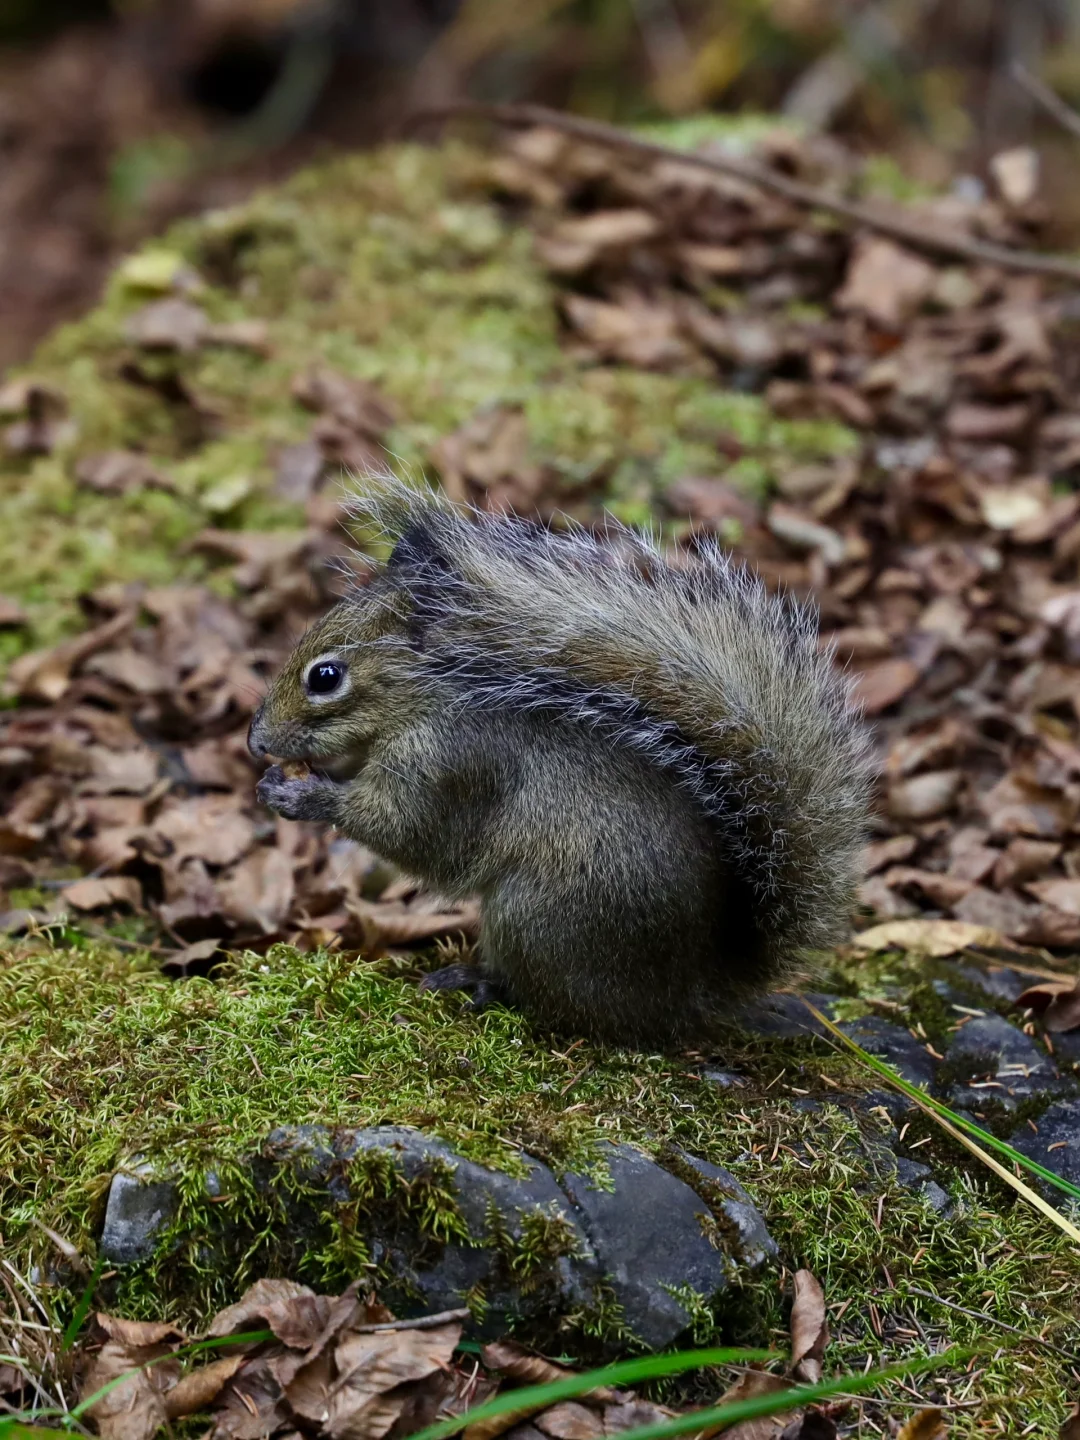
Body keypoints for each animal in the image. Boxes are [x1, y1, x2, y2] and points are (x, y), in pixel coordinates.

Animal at [252, 478, 869, 1042]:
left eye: (325, 676)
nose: (257, 741)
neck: (425, 703)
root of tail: (692, 995)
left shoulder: (453, 765)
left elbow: (411, 832)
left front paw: (304, 795)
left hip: (535, 919)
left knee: (560, 1006)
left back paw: (481, 982)